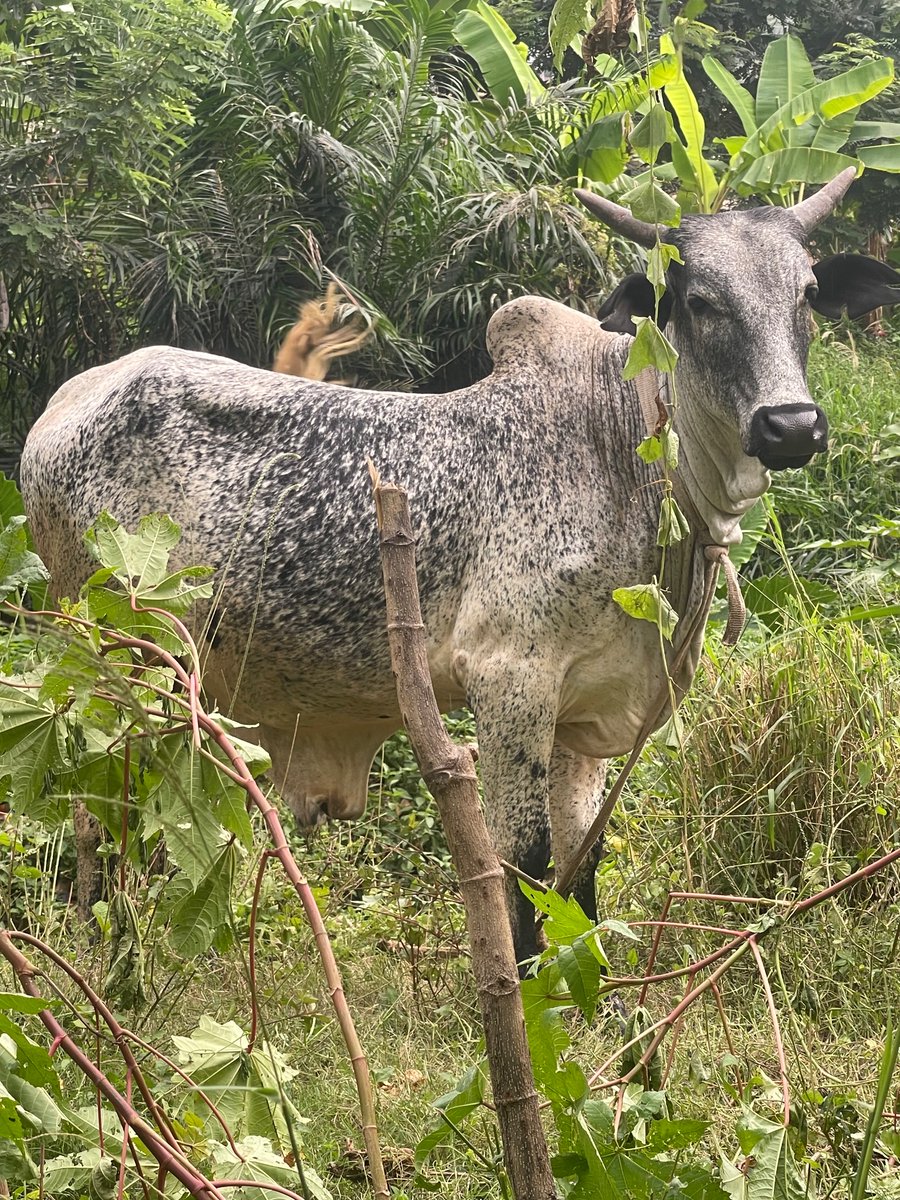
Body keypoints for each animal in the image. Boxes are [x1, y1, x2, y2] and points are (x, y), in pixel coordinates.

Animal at [19, 167, 900, 966]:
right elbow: (527, 871)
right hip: (116, 658)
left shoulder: (584, 714)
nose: (791, 426)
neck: (626, 456)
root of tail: (67, 400)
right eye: (698, 300)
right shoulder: (509, 679)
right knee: (99, 810)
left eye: (806, 293)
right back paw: (113, 954)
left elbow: (581, 871)